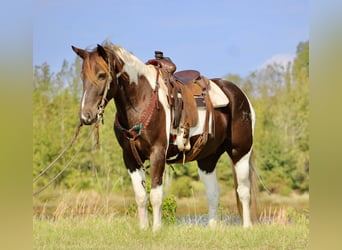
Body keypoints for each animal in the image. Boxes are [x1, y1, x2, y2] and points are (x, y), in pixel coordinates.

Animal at [73, 42, 260, 230]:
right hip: (207, 159)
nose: (86, 116)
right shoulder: (130, 158)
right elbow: (141, 197)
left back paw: (247, 226)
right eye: (82, 77)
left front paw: (156, 229)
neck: (142, 98)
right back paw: (212, 228)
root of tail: (240, 95)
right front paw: (143, 229)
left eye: (102, 75)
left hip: (240, 153)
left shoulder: (157, 153)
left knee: (244, 191)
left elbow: (156, 196)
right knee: (213, 193)